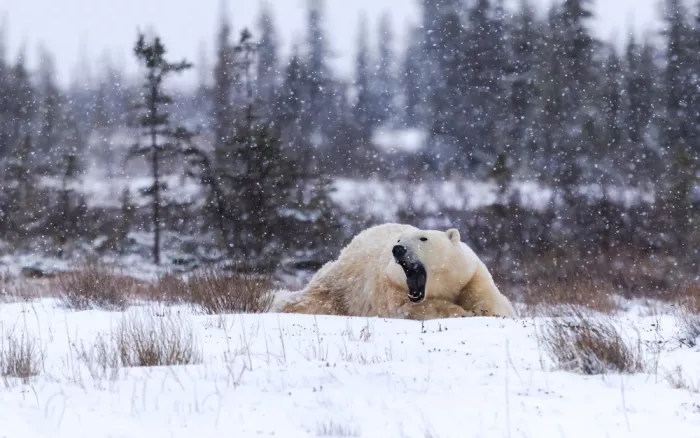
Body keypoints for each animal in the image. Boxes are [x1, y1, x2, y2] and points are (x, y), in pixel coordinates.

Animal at [279, 223, 516, 320]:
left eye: (423, 238)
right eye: (399, 239)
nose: (398, 249)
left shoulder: (470, 276)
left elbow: (491, 300)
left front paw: (485, 312)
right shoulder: (391, 287)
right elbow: (414, 308)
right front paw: (463, 312)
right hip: (339, 287)